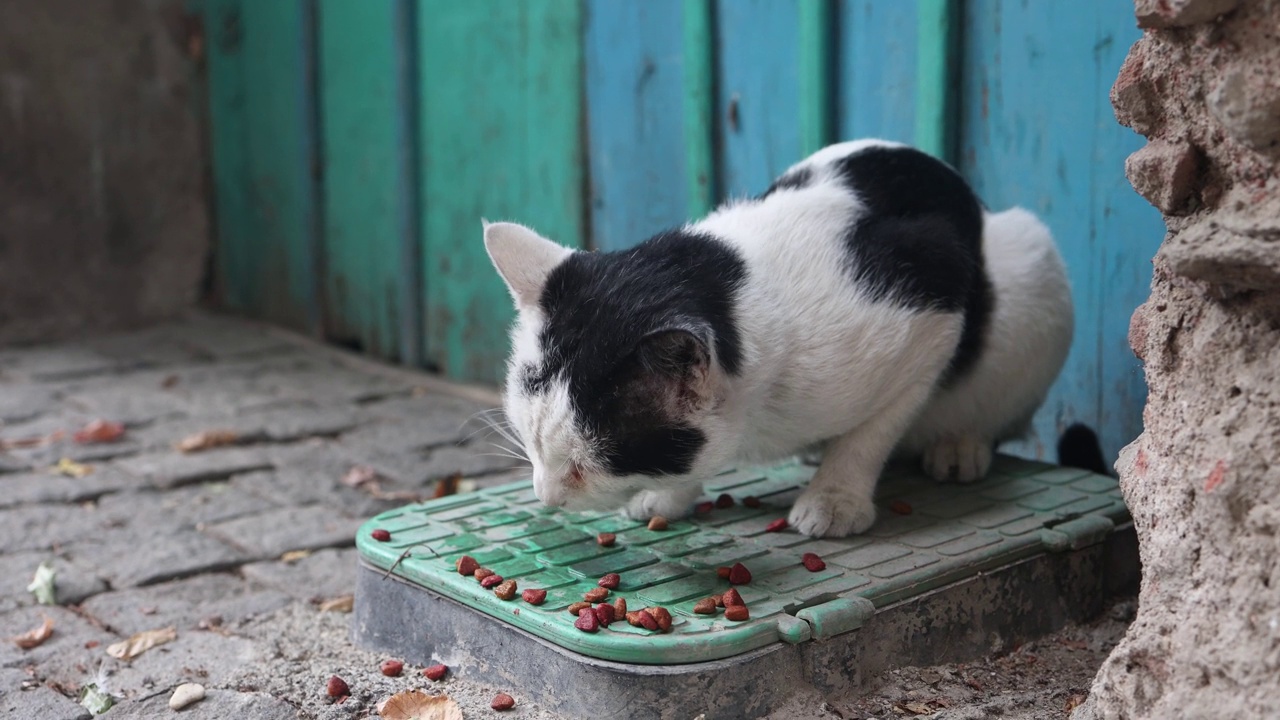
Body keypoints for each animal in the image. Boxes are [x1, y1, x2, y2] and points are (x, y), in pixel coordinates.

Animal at [481, 137, 1070, 535]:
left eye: (584, 468)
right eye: (530, 441)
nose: (545, 496)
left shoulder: (932, 303)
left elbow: (873, 429)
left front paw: (836, 497)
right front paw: (667, 495)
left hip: (1033, 270)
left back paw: (959, 446)